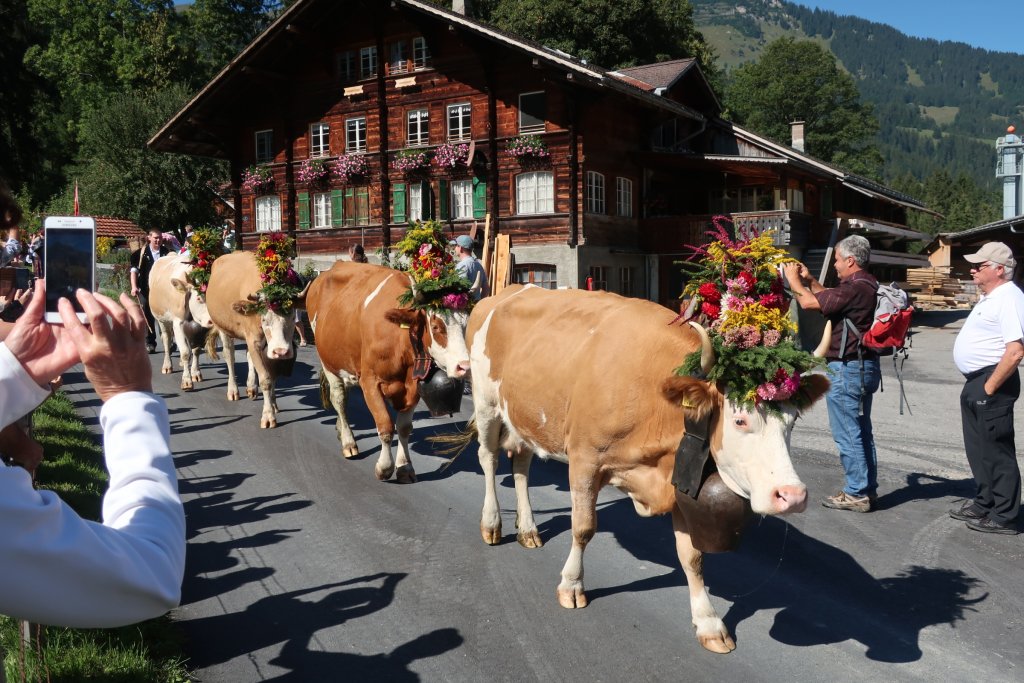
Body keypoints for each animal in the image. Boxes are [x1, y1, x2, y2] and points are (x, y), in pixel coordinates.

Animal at [148, 253, 216, 389]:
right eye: (199, 298)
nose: (211, 321)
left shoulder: (199, 327)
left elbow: (196, 350)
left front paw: (196, 373)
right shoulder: (177, 323)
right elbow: (185, 352)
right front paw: (186, 381)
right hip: (161, 319)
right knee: (166, 339)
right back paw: (167, 365)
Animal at [305, 222, 473, 483]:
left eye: (466, 323)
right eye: (436, 326)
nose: (464, 367)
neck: (401, 341)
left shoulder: (412, 385)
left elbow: (404, 428)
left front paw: (405, 467)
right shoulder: (370, 381)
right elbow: (385, 426)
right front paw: (384, 467)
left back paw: (340, 430)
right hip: (328, 361)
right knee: (339, 398)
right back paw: (348, 442)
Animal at [464, 216, 831, 655]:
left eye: (792, 422)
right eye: (740, 421)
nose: (792, 496)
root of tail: (504, 293)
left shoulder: (679, 472)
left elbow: (692, 556)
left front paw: (708, 621)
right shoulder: (585, 458)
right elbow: (583, 527)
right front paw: (571, 584)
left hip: (524, 414)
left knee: (520, 462)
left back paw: (528, 529)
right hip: (486, 401)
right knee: (487, 459)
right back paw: (491, 525)